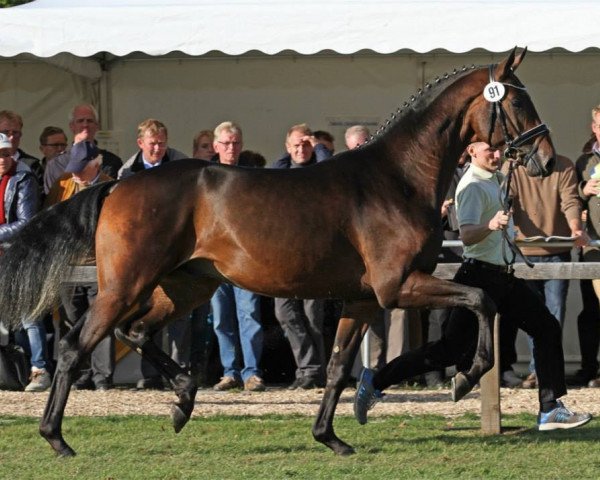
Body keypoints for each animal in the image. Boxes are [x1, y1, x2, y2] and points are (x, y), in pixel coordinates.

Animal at [0, 47, 552, 456]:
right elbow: (483, 300)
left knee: (132, 331)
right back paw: (57, 439)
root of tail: (117, 183)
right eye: (517, 103)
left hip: (185, 287)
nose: (544, 159)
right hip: (127, 284)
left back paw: (183, 399)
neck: (397, 179)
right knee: (76, 345)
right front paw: (464, 379)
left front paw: (330, 438)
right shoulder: (398, 288)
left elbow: (337, 367)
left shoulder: (363, 299)